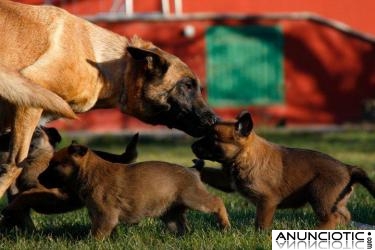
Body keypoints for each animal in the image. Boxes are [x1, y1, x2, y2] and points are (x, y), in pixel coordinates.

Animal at [39, 143, 232, 238]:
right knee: (182, 227)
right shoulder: (99, 217)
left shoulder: (104, 217)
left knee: (217, 202)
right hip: (170, 213)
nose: (39, 178)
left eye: (55, 165)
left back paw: (225, 225)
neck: (89, 172)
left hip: (194, 198)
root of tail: (192, 170)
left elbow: (95, 235)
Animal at [194, 112, 375, 229]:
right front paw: (195, 169)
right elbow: (209, 173)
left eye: (213, 139)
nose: (192, 146)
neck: (243, 155)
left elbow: (261, 224)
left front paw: (259, 236)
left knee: (331, 218)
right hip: (335, 201)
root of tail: (347, 168)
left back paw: (318, 231)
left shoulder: (266, 201)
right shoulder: (227, 181)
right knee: (344, 216)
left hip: (319, 194)